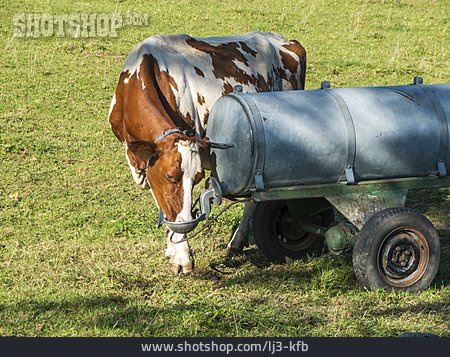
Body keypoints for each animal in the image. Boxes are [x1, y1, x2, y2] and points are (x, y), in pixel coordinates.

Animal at [108, 32, 306, 274]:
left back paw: (237, 241)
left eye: (197, 179)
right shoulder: (144, 164)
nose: (187, 223)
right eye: (170, 177)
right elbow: (163, 204)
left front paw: (181, 256)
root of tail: (284, 40)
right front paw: (172, 248)